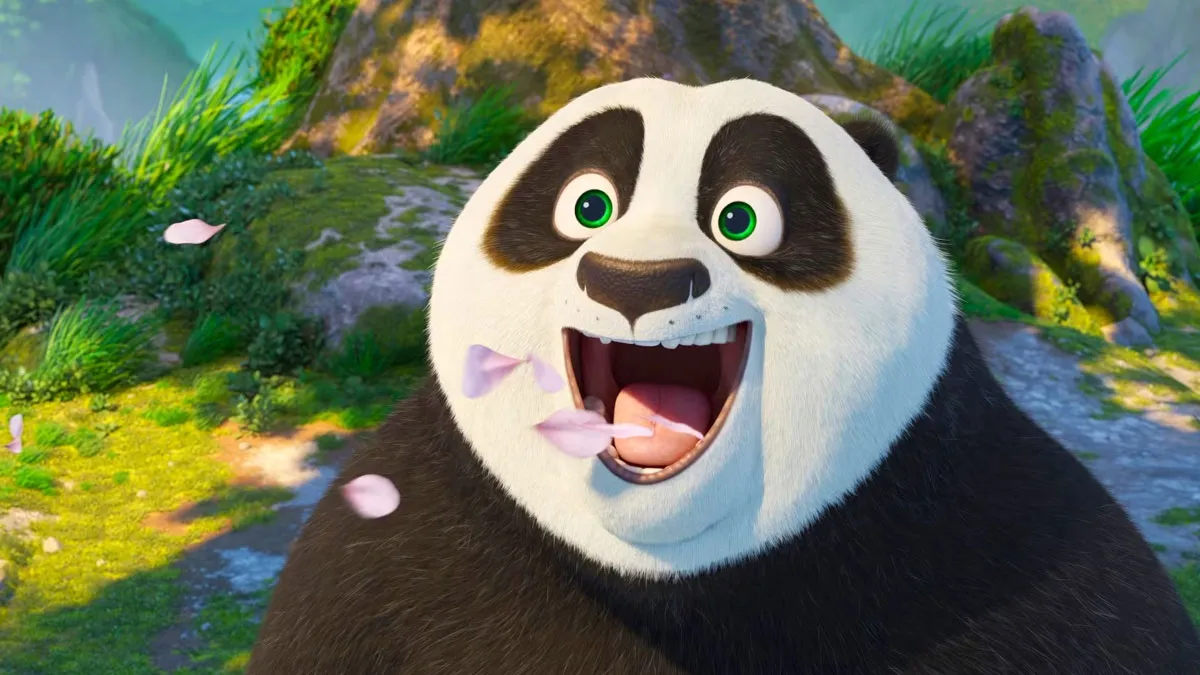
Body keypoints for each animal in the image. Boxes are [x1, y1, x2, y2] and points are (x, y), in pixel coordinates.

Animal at [247, 77, 1200, 674]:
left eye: (742, 217)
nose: (637, 283)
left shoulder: (1002, 534)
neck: (664, 568)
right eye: (587, 204)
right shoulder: (381, 552)